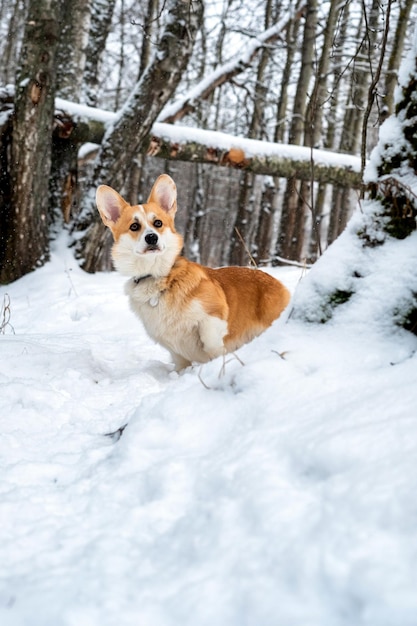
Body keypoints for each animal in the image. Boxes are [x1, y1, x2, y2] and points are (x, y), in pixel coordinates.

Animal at [96, 173, 290, 368]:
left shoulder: (214, 314)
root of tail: (280, 285)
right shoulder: (175, 352)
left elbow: (210, 340)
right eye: (134, 226)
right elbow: (180, 365)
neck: (157, 276)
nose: (151, 237)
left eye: (158, 223)